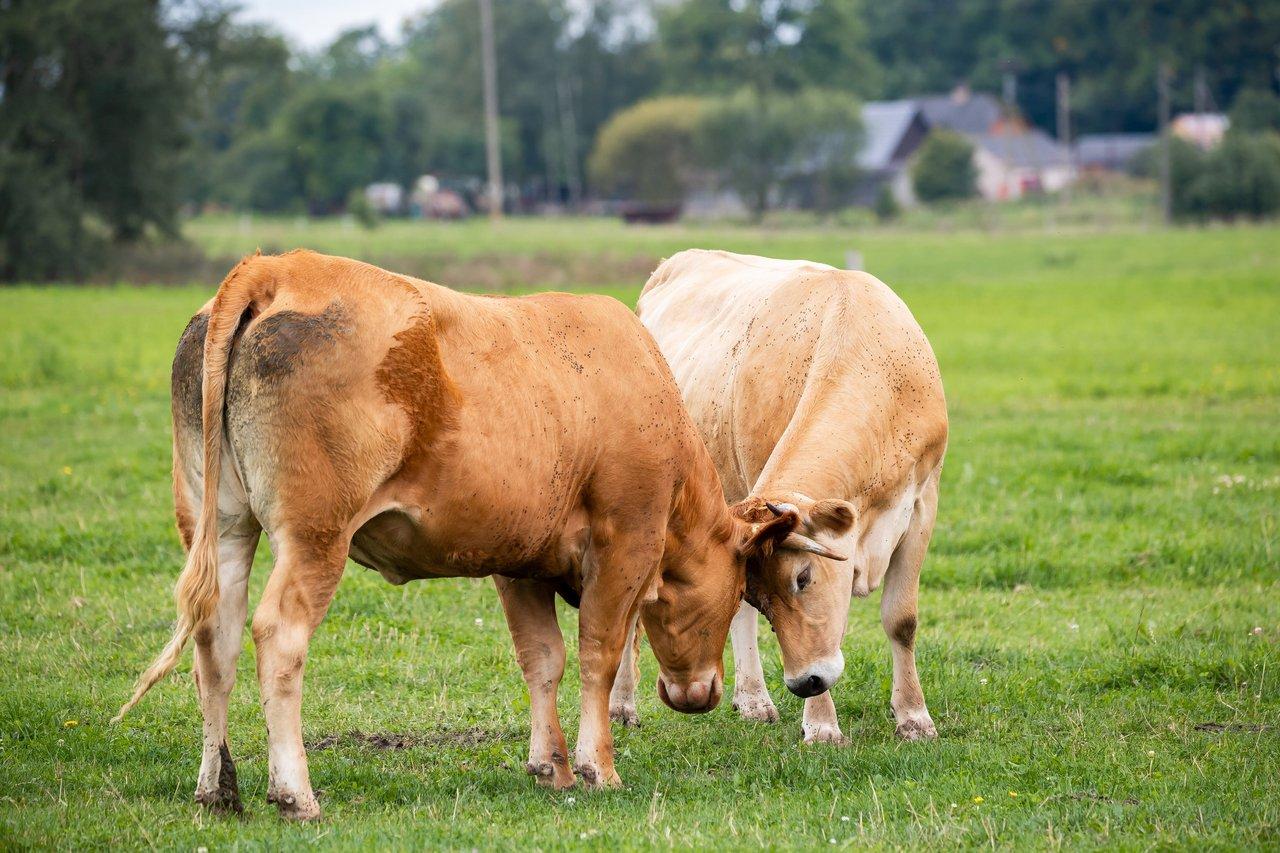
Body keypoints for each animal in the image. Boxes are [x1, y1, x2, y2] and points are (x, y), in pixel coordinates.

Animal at [112, 250, 820, 820]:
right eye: (743, 592)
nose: (701, 694)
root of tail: (277, 268)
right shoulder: (625, 543)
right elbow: (596, 654)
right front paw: (598, 767)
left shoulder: (518, 559)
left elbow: (542, 659)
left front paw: (550, 766)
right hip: (315, 537)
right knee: (277, 636)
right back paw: (295, 794)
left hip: (223, 524)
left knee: (217, 637)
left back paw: (216, 789)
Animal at [610, 249, 948, 745]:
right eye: (764, 596)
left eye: (803, 577)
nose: (804, 682)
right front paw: (822, 725)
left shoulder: (922, 503)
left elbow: (901, 620)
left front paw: (914, 717)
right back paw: (624, 704)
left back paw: (752, 699)